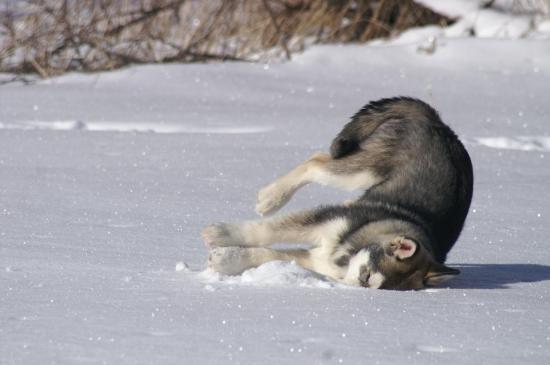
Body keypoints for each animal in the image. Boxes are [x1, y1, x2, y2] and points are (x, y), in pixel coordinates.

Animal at [203, 97, 474, 290]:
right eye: (366, 276)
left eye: (369, 284)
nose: (342, 286)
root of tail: (439, 122)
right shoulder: (327, 220)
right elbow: (265, 231)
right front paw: (219, 233)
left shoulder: (316, 257)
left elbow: (267, 255)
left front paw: (226, 261)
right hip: (362, 169)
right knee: (315, 163)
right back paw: (271, 198)